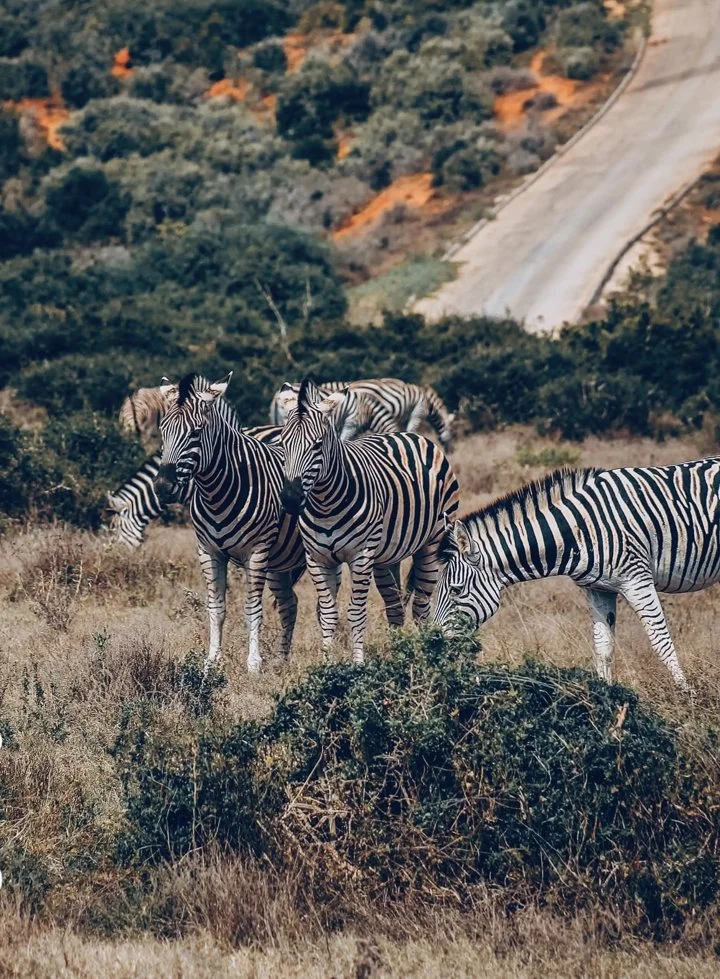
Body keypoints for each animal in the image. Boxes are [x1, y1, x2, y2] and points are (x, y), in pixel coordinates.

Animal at [154, 373, 305, 672]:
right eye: (163, 431)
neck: (216, 493)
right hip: (281, 563)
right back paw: (281, 662)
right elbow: (217, 607)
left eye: (196, 432)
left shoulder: (257, 552)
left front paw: (254, 664)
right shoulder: (208, 551)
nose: (163, 487)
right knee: (289, 603)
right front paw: (211, 662)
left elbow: (252, 609)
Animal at [432, 461, 720, 693]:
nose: (433, 645)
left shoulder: (637, 579)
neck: (579, 531)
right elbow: (603, 648)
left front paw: (687, 696)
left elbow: (661, 641)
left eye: (456, 590)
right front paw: (607, 699)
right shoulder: (598, 588)